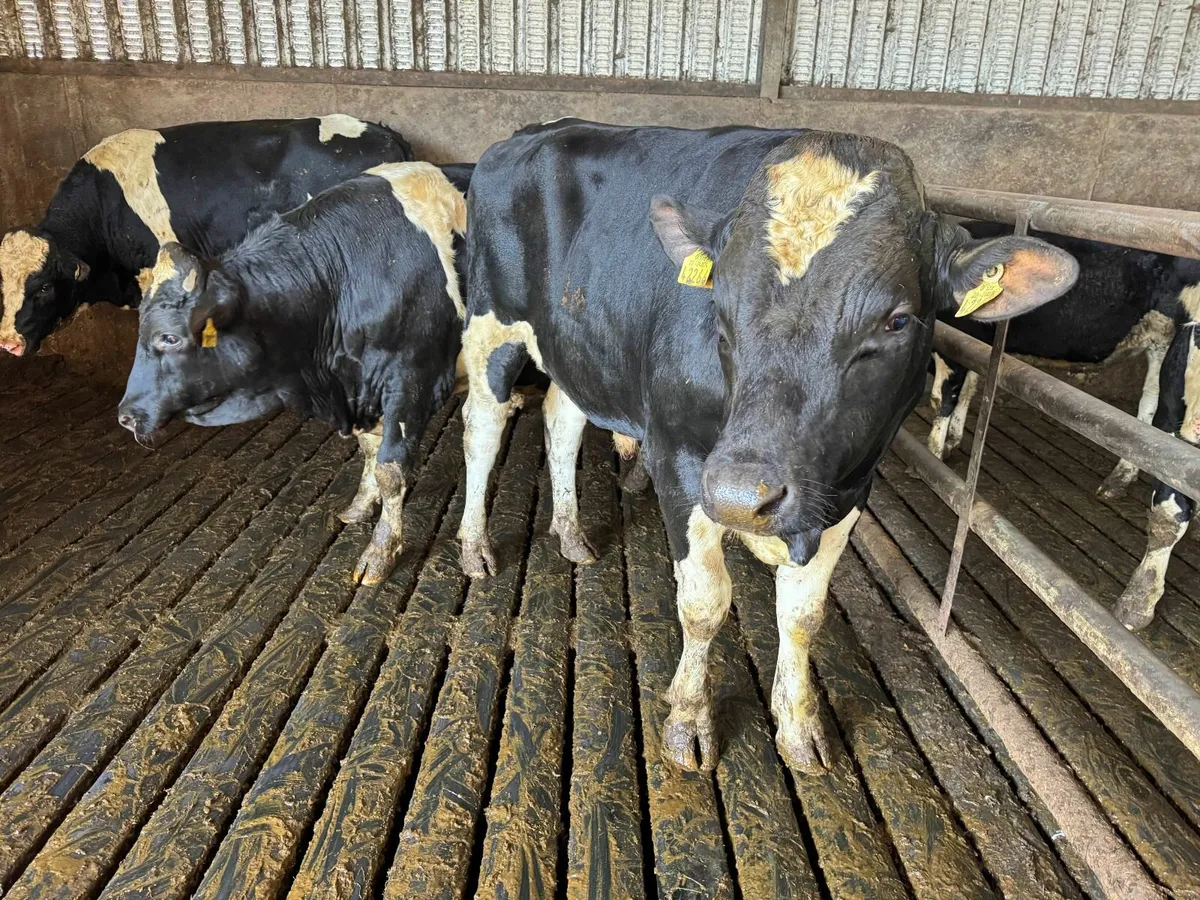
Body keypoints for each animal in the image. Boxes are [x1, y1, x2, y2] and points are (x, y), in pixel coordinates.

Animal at [117, 161, 471, 585]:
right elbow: (369, 451)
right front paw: (359, 506)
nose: (125, 416)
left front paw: (380, 552)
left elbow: (391, 468)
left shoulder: (411, 380)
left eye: (168, 337)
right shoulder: (359, 386)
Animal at [456, 120, 1078, 773]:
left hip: (576, 347)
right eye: (718, 306)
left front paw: (799, 724)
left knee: (561, 421)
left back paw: (572, 532)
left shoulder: (849, 487)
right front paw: (688, 718)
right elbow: (704, 602)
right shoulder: (680, 464)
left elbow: (802, 615)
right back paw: (474, 545)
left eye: (897, 321)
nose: (739, 495)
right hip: (491, 326)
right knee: (482, 428)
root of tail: (534, 130)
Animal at [926, 223, 1200, 502]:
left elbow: (943, 398)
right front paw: (951, 441)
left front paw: (933, 455)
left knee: (1150, 405)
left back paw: (1117, 480)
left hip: (1165, 338)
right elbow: (968, 389)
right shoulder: (973, 343)